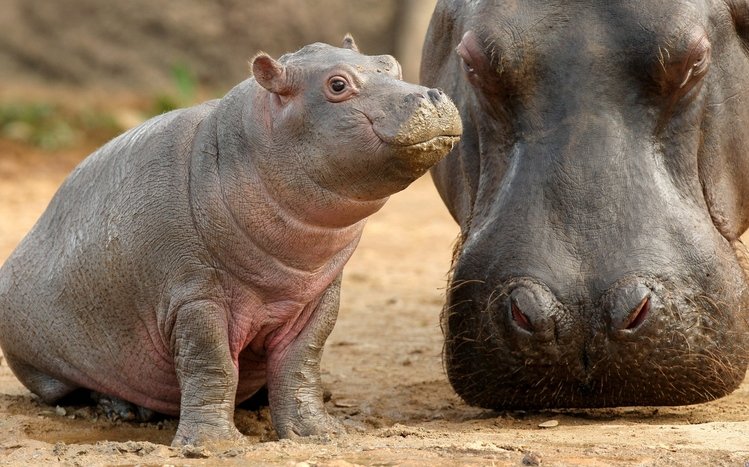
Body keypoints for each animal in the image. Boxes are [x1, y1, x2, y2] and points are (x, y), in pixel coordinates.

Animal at [0, 36, 461, 446]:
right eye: (337, 85)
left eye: (391, 64)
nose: (432, 95)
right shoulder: (193, 296)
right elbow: (211, 365)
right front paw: (213, 443)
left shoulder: (318, 296)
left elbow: (302, 362)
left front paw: (320, 433)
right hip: (45, 361)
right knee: (74, 388)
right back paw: (126, 409)